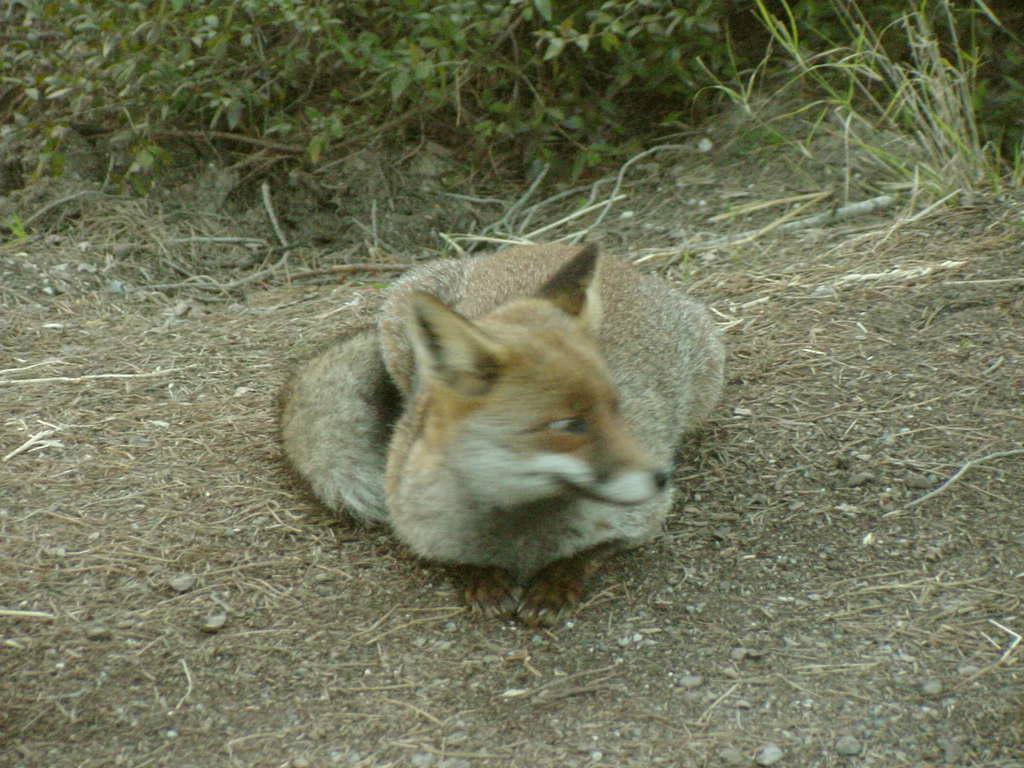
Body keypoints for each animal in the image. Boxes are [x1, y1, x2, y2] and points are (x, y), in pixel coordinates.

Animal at [278, 242, 724, 625]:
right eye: (568, 425)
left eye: (617, 408)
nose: (662, 477)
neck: (518, 529)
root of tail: (544, 243)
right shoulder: (417, 526)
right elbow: (460, 559)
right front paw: (485, 578)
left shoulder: (641, 520)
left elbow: (589, 554)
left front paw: (555, 584)